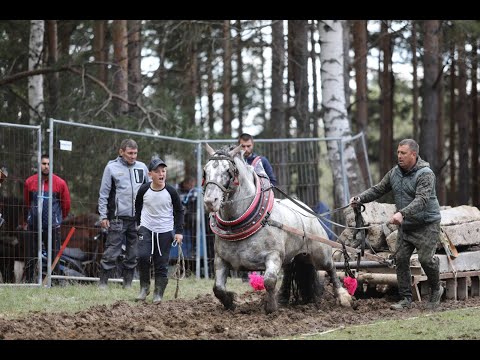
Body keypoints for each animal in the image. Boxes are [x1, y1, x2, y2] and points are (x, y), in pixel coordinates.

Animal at [202, 143, 352, 312]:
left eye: (228, 171)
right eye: (205, 171)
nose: (210, 201)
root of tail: (308, 210)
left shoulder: (273, 255)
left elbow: (269, 280)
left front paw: (271, 307)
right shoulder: (220, 259)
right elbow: (218, 288)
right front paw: (230, 303)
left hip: (320, 253)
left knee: (331, 267)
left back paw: (343, 296)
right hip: (293, 256)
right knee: (289, 271)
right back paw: (283, 297)